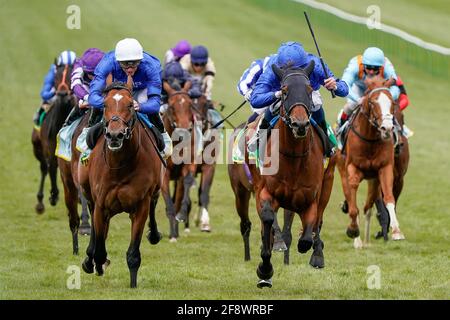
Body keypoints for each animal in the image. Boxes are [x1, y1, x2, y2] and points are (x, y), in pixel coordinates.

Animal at [31, 62, 75, 212]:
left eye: (71, 75)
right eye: (56, 77)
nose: (62, 94)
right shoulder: (49, 149)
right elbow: (51, 168)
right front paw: (54, 195)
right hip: (37, 146)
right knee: (44, 167)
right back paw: (40, 202)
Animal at [79, 77, 163, 288]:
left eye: (130, 105)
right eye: (105, 104)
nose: (115, 135)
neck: (120, 166)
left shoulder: (141, 205)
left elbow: (133, 254)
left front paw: (133, 284)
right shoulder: (101, 204)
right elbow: (100, 248)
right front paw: (96, 262)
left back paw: (154, 234)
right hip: (88, 193)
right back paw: (90, 259)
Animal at [248, 60, 332, 288]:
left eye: (309, 89)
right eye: (284, 91)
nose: (300, 124)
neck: (293, 157)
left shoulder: (309, 199)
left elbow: (307, 236)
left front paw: (311, 248)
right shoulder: (266, 193)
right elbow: (268, 219)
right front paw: (264, 269)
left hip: (328, 183)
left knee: (319, 221)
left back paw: (317, 254)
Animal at [334, 75, 404, 250]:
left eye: (392, 103)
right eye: (372, 102)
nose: (387, 128)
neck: (370, 139)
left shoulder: (385, 169)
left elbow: (389, 198)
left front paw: (396, 231)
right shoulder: (352, 169)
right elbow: (353, 207)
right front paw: (353, 231)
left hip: (373, 181)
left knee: (367, 208)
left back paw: (365, 240)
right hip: (342, 170)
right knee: (353, 202)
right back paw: (358, 240)